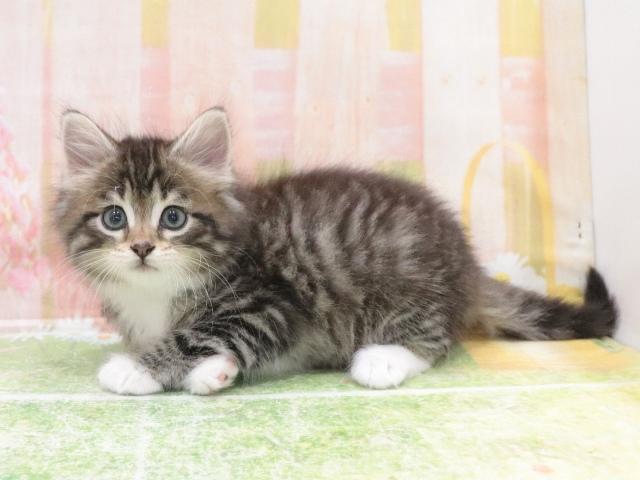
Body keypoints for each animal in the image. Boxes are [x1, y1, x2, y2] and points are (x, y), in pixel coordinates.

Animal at [54, 108, 617, 395]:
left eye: (173, 217)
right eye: (114, 218)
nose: (142, 248)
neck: (157, 292)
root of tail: (467, 262)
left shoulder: (268, 301)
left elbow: (201, 333)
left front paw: (136, 368)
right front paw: (217, 371)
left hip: (405, 283)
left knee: (434, 342)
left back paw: (384, 359)